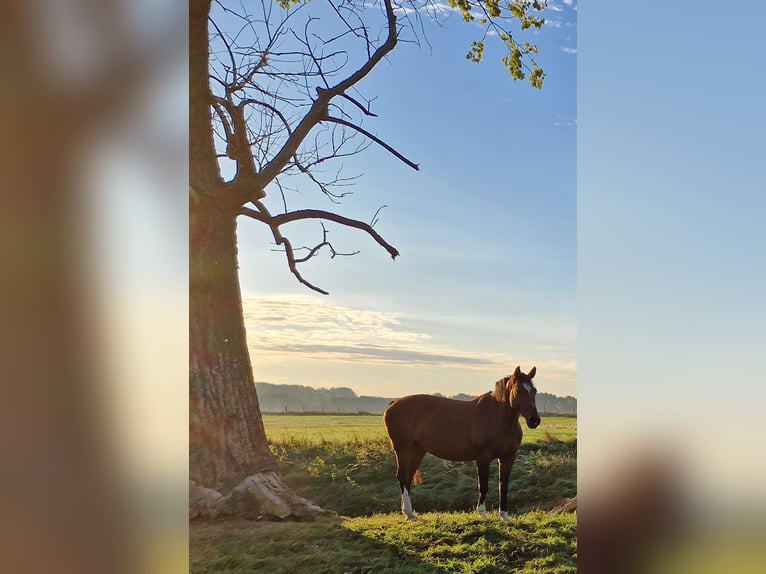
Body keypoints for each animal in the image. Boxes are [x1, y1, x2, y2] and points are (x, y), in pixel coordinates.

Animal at [382, 368, 540, 520]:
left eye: (534, 391)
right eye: (518, 390)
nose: (534, 420)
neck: (497, 418)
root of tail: (393, 404)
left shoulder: (508, 457)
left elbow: (503, 486)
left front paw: (504, 515)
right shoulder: (483, 458)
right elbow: (483, 485)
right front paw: (482, 513)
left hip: (417, 450)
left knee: (408, 477)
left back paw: (410, 513)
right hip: (403, 450)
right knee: (402, 477)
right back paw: (408, 513)